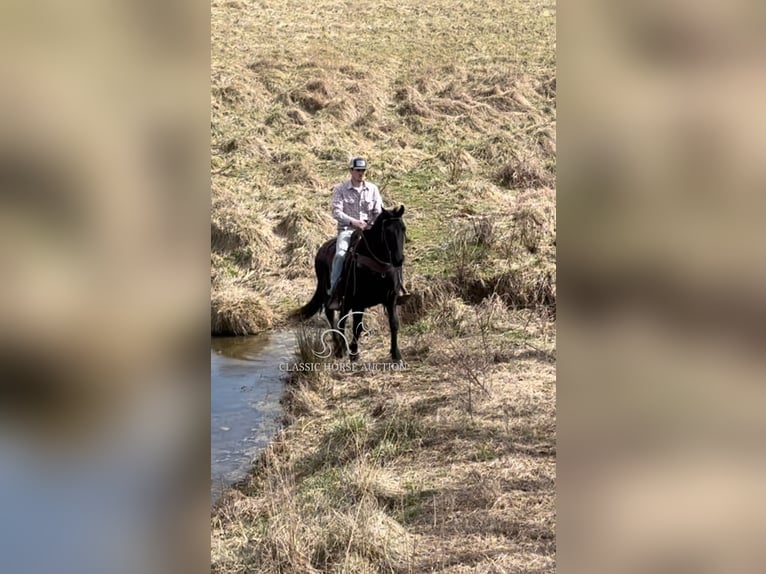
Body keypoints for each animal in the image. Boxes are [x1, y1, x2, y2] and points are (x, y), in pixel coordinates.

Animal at [296, 206, 408, 360]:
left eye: (403, 228)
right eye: (387, 231)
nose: (398, 260)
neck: (377, 268)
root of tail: (321, 249)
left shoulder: (391, 299)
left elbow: (394, 323)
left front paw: (396, 353)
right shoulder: (358, 302)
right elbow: (357, 326)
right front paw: (354, 352)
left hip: (346, 300)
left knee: (339, 319)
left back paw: (341, 347)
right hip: (333, 294)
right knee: (332, 315)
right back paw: (339, 348)